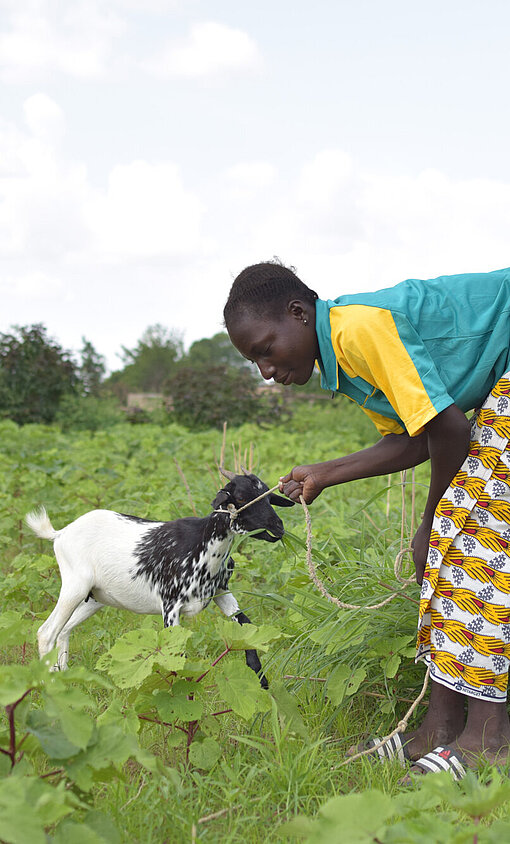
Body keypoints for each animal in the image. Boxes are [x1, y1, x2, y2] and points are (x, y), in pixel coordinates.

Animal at [26, 472, 290, 688]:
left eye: (269, 496)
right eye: (242, 496)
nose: (278, 527)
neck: (202, 542)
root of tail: (61, 533)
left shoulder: (220, 592)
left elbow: (245, 623)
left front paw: (261, 679)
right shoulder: (170, 605)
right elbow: (177, 654)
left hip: (95, 598)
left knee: (64, 630)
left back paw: (65, 676)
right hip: (74, 587)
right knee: (46, 632)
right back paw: (49, 685)